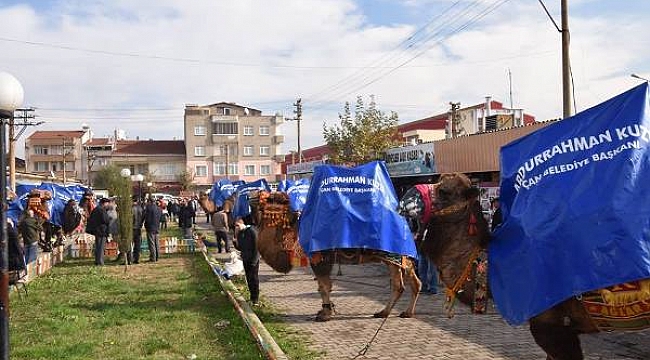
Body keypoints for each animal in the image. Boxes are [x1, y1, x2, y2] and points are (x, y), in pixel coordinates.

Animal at [247, 190, 420, 322]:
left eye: (270, 197)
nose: (251, 195)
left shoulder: (321, 258)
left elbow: (324, 287)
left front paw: (324, 314)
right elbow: (322, 286)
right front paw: (325, 311)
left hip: (393, 257)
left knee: (400, 285)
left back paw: (389, 312)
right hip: (399, 259)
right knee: (411, 282)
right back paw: (400, 312)